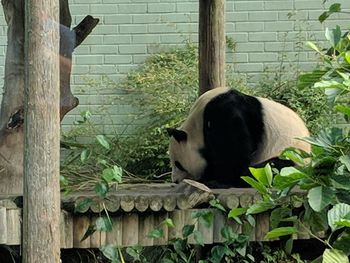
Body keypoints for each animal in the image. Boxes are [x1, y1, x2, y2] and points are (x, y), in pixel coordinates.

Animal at [168, 87, 310, 189]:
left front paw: (218, 181)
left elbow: (233, 152)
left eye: (178, 164)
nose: (175, 180)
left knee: (274, 167)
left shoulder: (223, 113)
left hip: (293, 156)